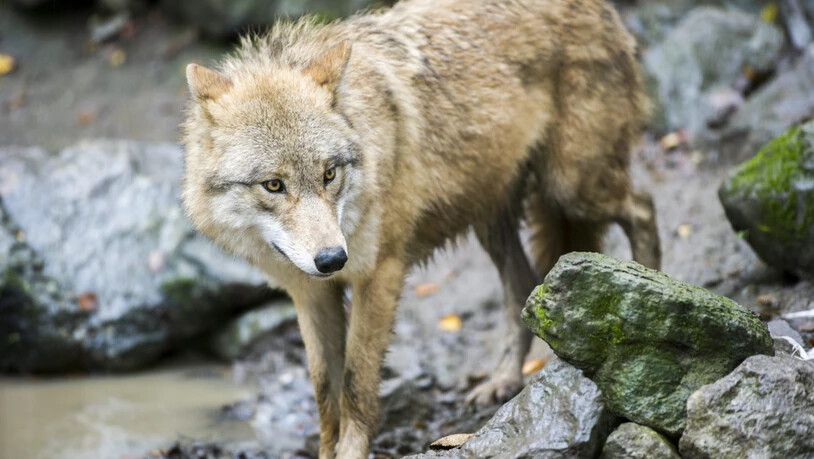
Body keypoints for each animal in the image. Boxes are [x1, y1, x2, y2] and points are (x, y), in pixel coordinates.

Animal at [181, 0, 661, 456]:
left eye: (329, 175)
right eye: (274, 185)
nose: (333, 259)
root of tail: (601, 8)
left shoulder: (380, 274)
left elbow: (356, 385)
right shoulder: (311, 294)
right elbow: (324, 393)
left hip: (572, 187)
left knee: (643, 207)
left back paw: (651, 292)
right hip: (496, 221)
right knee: (523, 284)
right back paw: (503, 380)